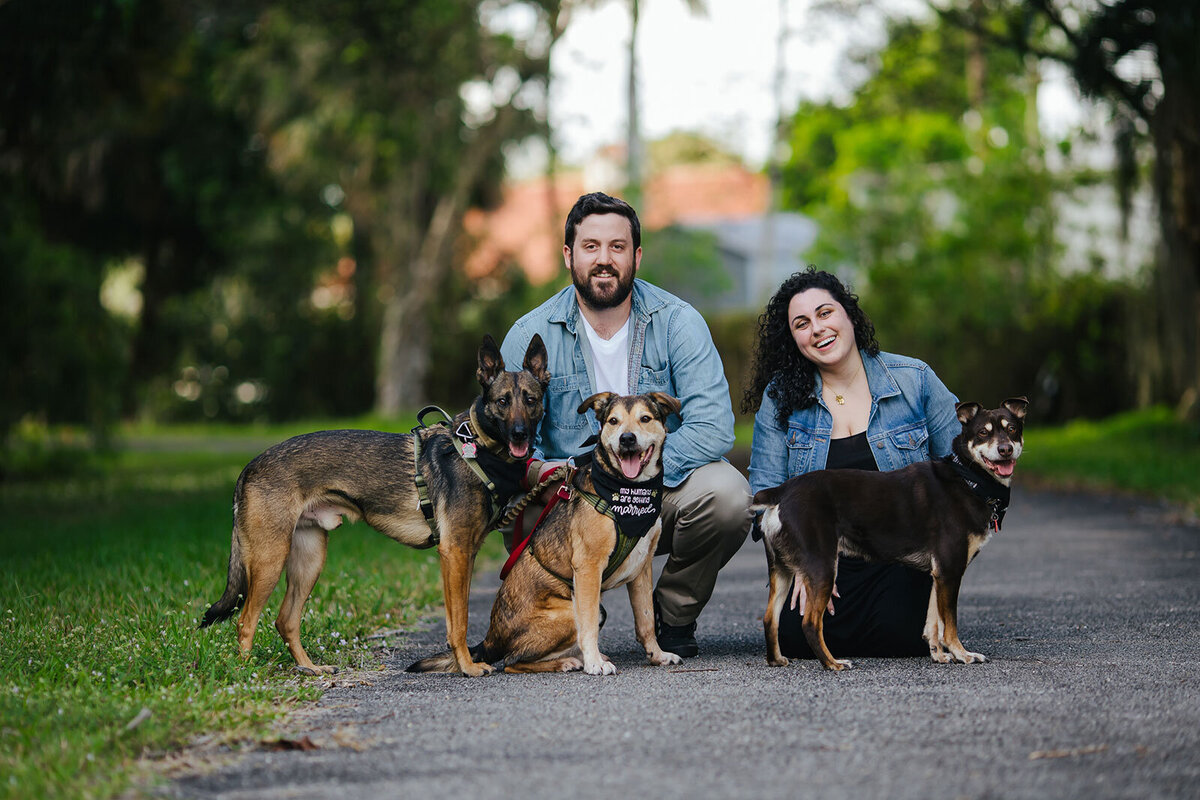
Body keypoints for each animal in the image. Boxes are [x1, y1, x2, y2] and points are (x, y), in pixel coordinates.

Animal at [200, 335, 549, 681]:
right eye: (502, 401)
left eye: (531, 400)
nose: (521, 434)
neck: (477, 448)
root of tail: (249, 467)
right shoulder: (455, 552)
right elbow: (458, 622)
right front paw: (465, 666)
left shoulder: (466, 554)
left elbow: (458, 615)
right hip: (270, 559)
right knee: (245, 622)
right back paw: (248, 675)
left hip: (308, 559)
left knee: (285, 620)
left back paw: (310, 668)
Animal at [405, 393, 681, 676]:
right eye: (613, 421)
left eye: (645, 418)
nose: (627, 438)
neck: (626, 493)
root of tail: (490, 639)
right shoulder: (588, 567)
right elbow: (588, 624)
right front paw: (594, 663)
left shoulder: (642, 569)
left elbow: (646, 620)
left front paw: (657, 655)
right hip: (567, 612)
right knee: (513, 662)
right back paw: (571, 661)